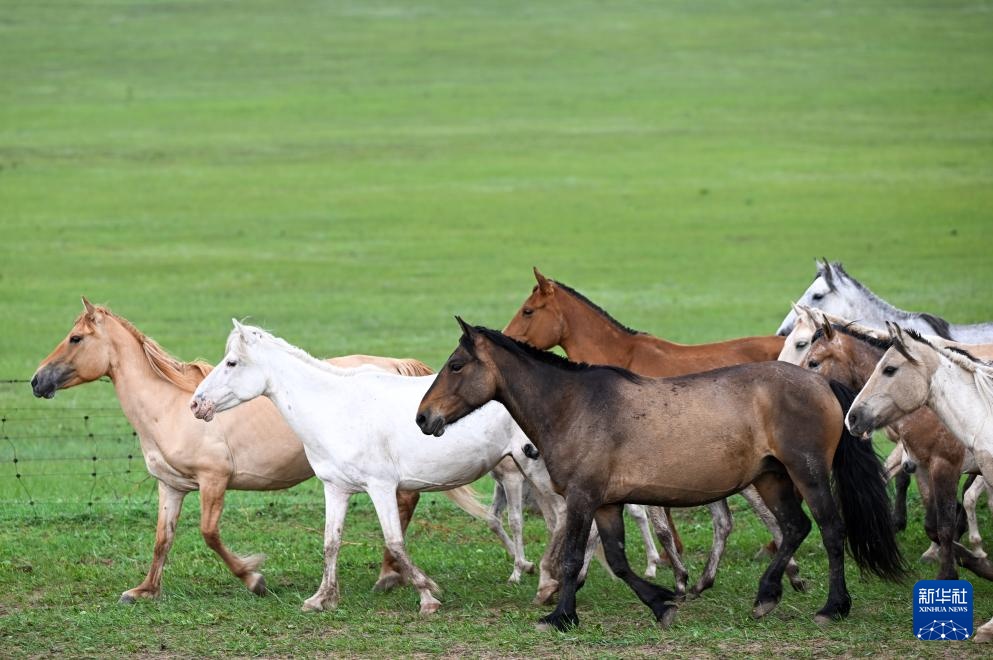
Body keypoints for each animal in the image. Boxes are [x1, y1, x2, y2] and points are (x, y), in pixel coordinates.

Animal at [29, 299, 516, 603]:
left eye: (75, 339)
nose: (37, 381)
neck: (167, 408)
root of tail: (395, 364)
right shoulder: (172, 487)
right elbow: (162, 540)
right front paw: (144, 591)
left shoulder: (213, 481)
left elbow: (209, 534)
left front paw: (254, 578)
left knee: (405, 504)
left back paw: (388, 576)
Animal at [189, 320, 569, 614]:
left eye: (232, 363)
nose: (196, 403)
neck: (335, 408)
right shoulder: (336, 489)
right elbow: (331, 543)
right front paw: (322, 598)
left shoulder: (381, 487)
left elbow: (395, 541)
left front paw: (428, 595)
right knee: (556, 521)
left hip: (533, 468)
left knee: (562, 517)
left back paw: (549, 584)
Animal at [418, 319, 906, 631]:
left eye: (456, 365)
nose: (424, 418)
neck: (574, 406)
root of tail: (820, 383)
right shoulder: (607, 503)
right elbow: (617, 560)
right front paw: (661, 602)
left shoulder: (582, 497)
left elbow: (574, 557)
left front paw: (560, 617)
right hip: (771, 478)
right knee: (795, 527)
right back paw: (766, 595)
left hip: (807, 473)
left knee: (830, 530)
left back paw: (833, 606)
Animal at [792, 316, 993, 582]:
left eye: (813, 362)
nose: (800, 391)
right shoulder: (921, 466)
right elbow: (933, 525)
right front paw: (973, 561)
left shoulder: (945, 466)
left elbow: (945, 526)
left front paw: (953, 570)